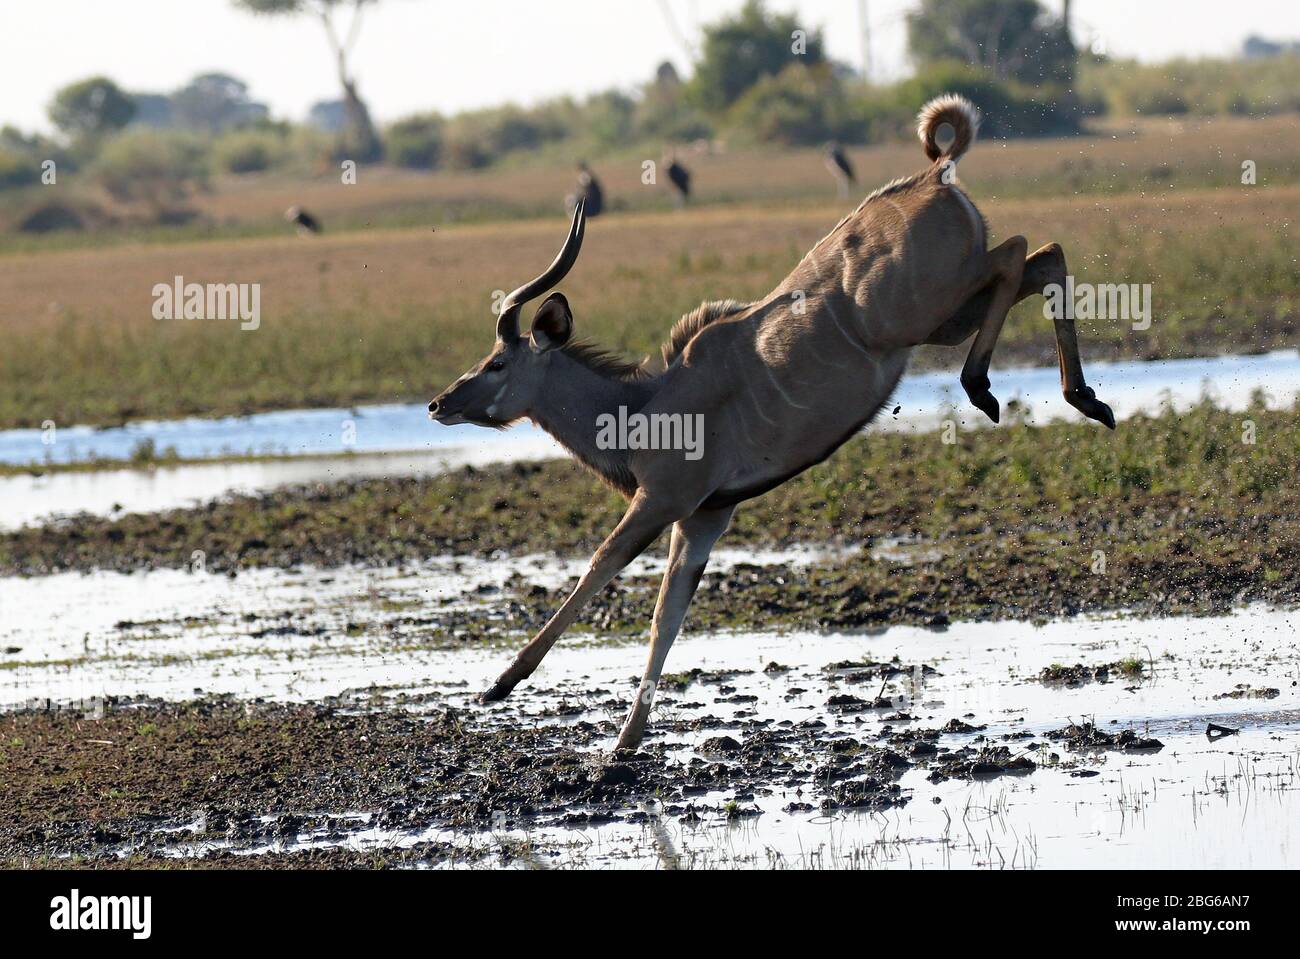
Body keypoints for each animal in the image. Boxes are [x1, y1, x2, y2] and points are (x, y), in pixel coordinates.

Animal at [428, 97, 1118, 753]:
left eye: (496, 361)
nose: (439, 403)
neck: (643, 407)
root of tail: (933, 176)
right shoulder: (703, 518)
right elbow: (666, 616)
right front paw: (624, 742)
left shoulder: (663, 500)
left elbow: (601, 566)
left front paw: (500, 685)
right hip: (947, 315)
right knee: (1043, 257)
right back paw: (1085, 399)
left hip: (927, 310)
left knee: (1019, 252)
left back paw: (985, 387)